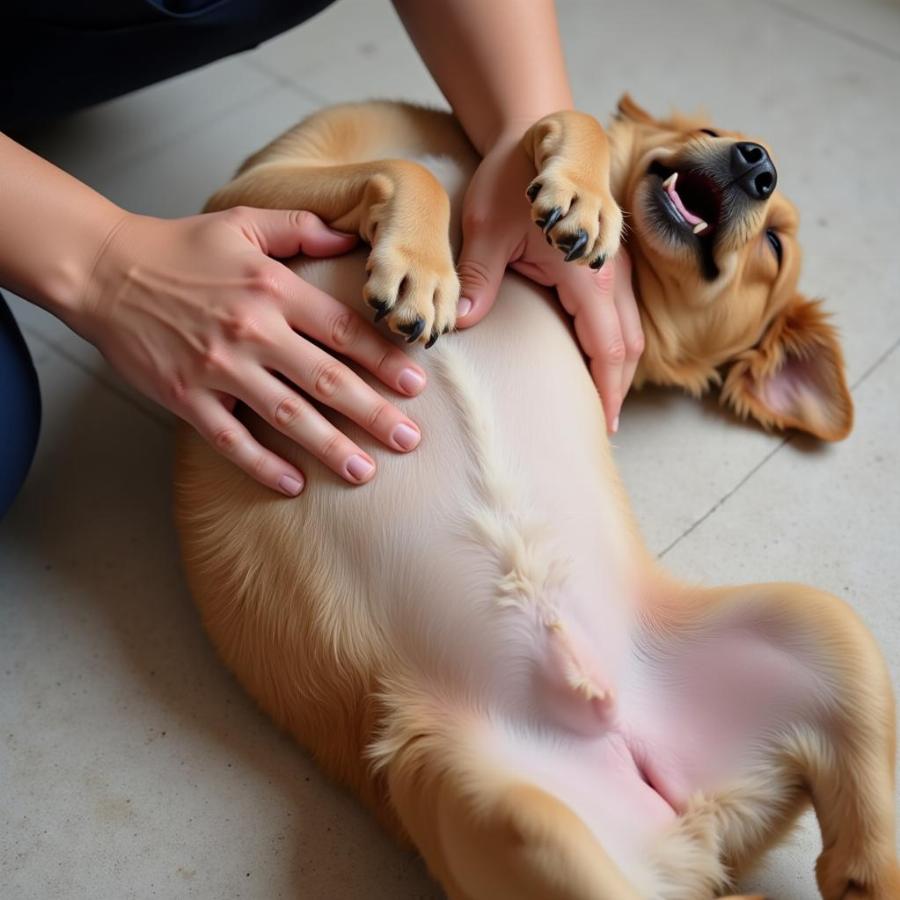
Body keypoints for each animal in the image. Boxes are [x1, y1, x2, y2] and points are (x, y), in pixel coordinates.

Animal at [174, 95, 892, 896]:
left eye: (772, 247)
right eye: (711, 133)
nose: (756, 163)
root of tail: (690, 814)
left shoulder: (247, 201)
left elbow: (426, 164)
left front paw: (456, 254)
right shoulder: (239, 207)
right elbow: (519, 135)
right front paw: (567, 203)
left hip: (814, 647)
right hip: (530, 807)